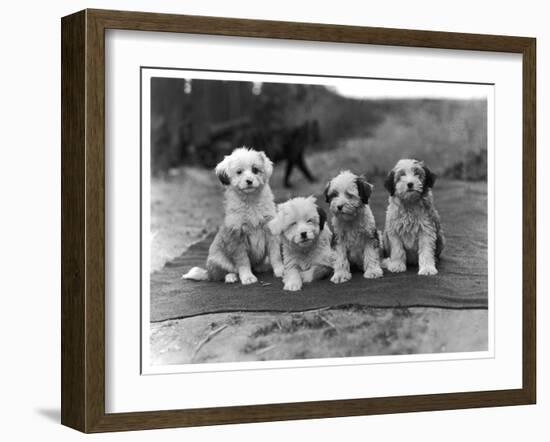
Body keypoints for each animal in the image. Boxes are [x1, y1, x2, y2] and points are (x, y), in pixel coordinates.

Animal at [183, 147, 284, 284]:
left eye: (255, 170)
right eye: (239, 172)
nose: (249, 181)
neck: (250, 201)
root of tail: (207, 272)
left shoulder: (270, 230)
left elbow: (275, 254)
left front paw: (280, 270)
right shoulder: (237, 236)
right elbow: (243, 261)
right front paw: (247, 277)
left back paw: (262, 267)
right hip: (218, 259)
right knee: (219, 274)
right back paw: (230, 277)